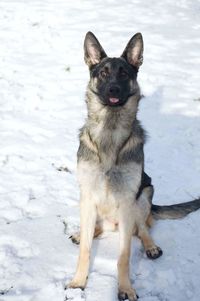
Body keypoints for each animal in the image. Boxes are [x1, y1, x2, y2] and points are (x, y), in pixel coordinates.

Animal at [67, 31, 200, 298]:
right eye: (103, 73)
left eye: (124, 73)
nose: (114, 88)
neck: (110, 131)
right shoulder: (88, 195)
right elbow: (86, 249)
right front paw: (78, 282)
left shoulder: (128, 201)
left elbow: (124, 254)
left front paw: (125, 289)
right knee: (96, 229)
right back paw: (84, 232)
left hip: (145, 192)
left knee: (143, 228)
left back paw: (150, 246)